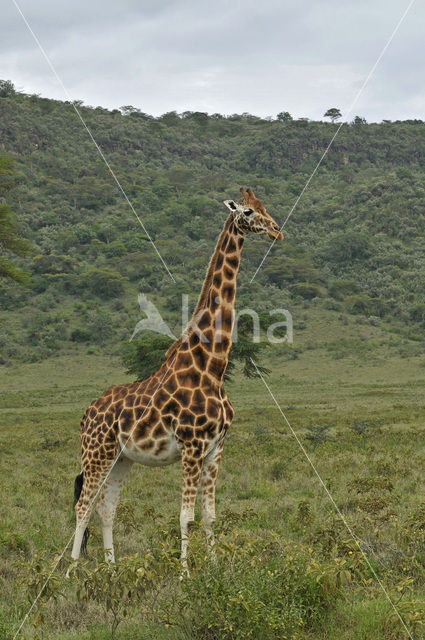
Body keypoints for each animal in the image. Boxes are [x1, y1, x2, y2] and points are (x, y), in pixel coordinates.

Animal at [70, 189, 282, 568]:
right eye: (247, 211)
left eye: (265, 207)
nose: (276, 231)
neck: (211, 366)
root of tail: (85, 414)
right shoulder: (192, 446)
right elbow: (186, 517)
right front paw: (185, 574)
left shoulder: (216, 448)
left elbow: (210, 516)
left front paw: (215, 569)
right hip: (96, 452)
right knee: (83, 507)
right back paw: (70, 573)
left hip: (121, 458)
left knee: (106, 510)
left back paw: (111, 571)